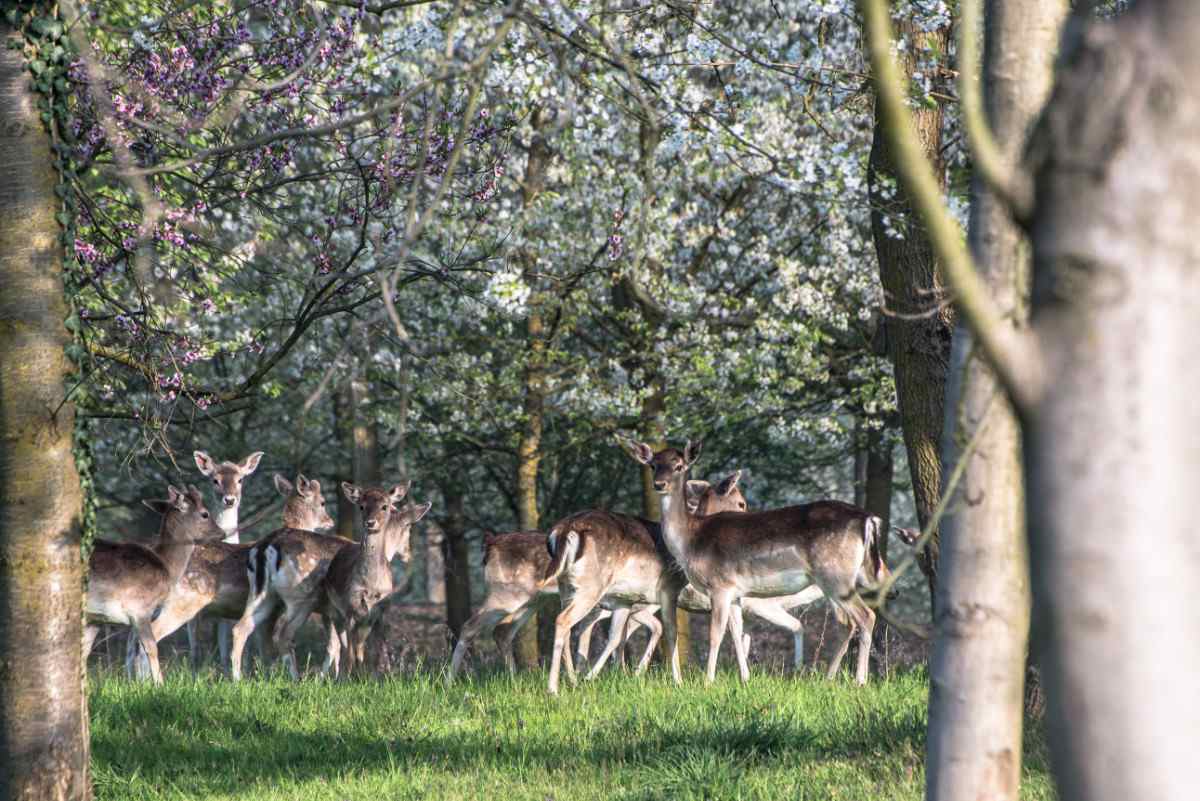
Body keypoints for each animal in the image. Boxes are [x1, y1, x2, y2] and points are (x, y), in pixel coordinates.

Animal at [85, 484, 225, 685]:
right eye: (205, 513)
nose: (222, 533)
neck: (166, 566)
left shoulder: (97, 618)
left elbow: (85, 652)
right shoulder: (140, 608)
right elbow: (151, 647)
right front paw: (159, 684)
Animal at [127, 472, 336, 681]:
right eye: (323, 502)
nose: (330, 522)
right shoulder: (274, 609)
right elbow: (265, 646)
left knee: (134, 640)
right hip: (185, 601)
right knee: (151, 636)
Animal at [619, 434, 892, 685]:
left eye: (678, 465)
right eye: (653, 465)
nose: (659, 484)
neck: (690, 541)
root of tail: (868, 519)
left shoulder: (720, 586)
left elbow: (716, 634)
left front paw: (708, 682)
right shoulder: (736, 593)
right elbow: (737, 631)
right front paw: (745, 679)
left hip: (836, 577)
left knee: (865, 616)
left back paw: (859, 681)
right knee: (852, 621)